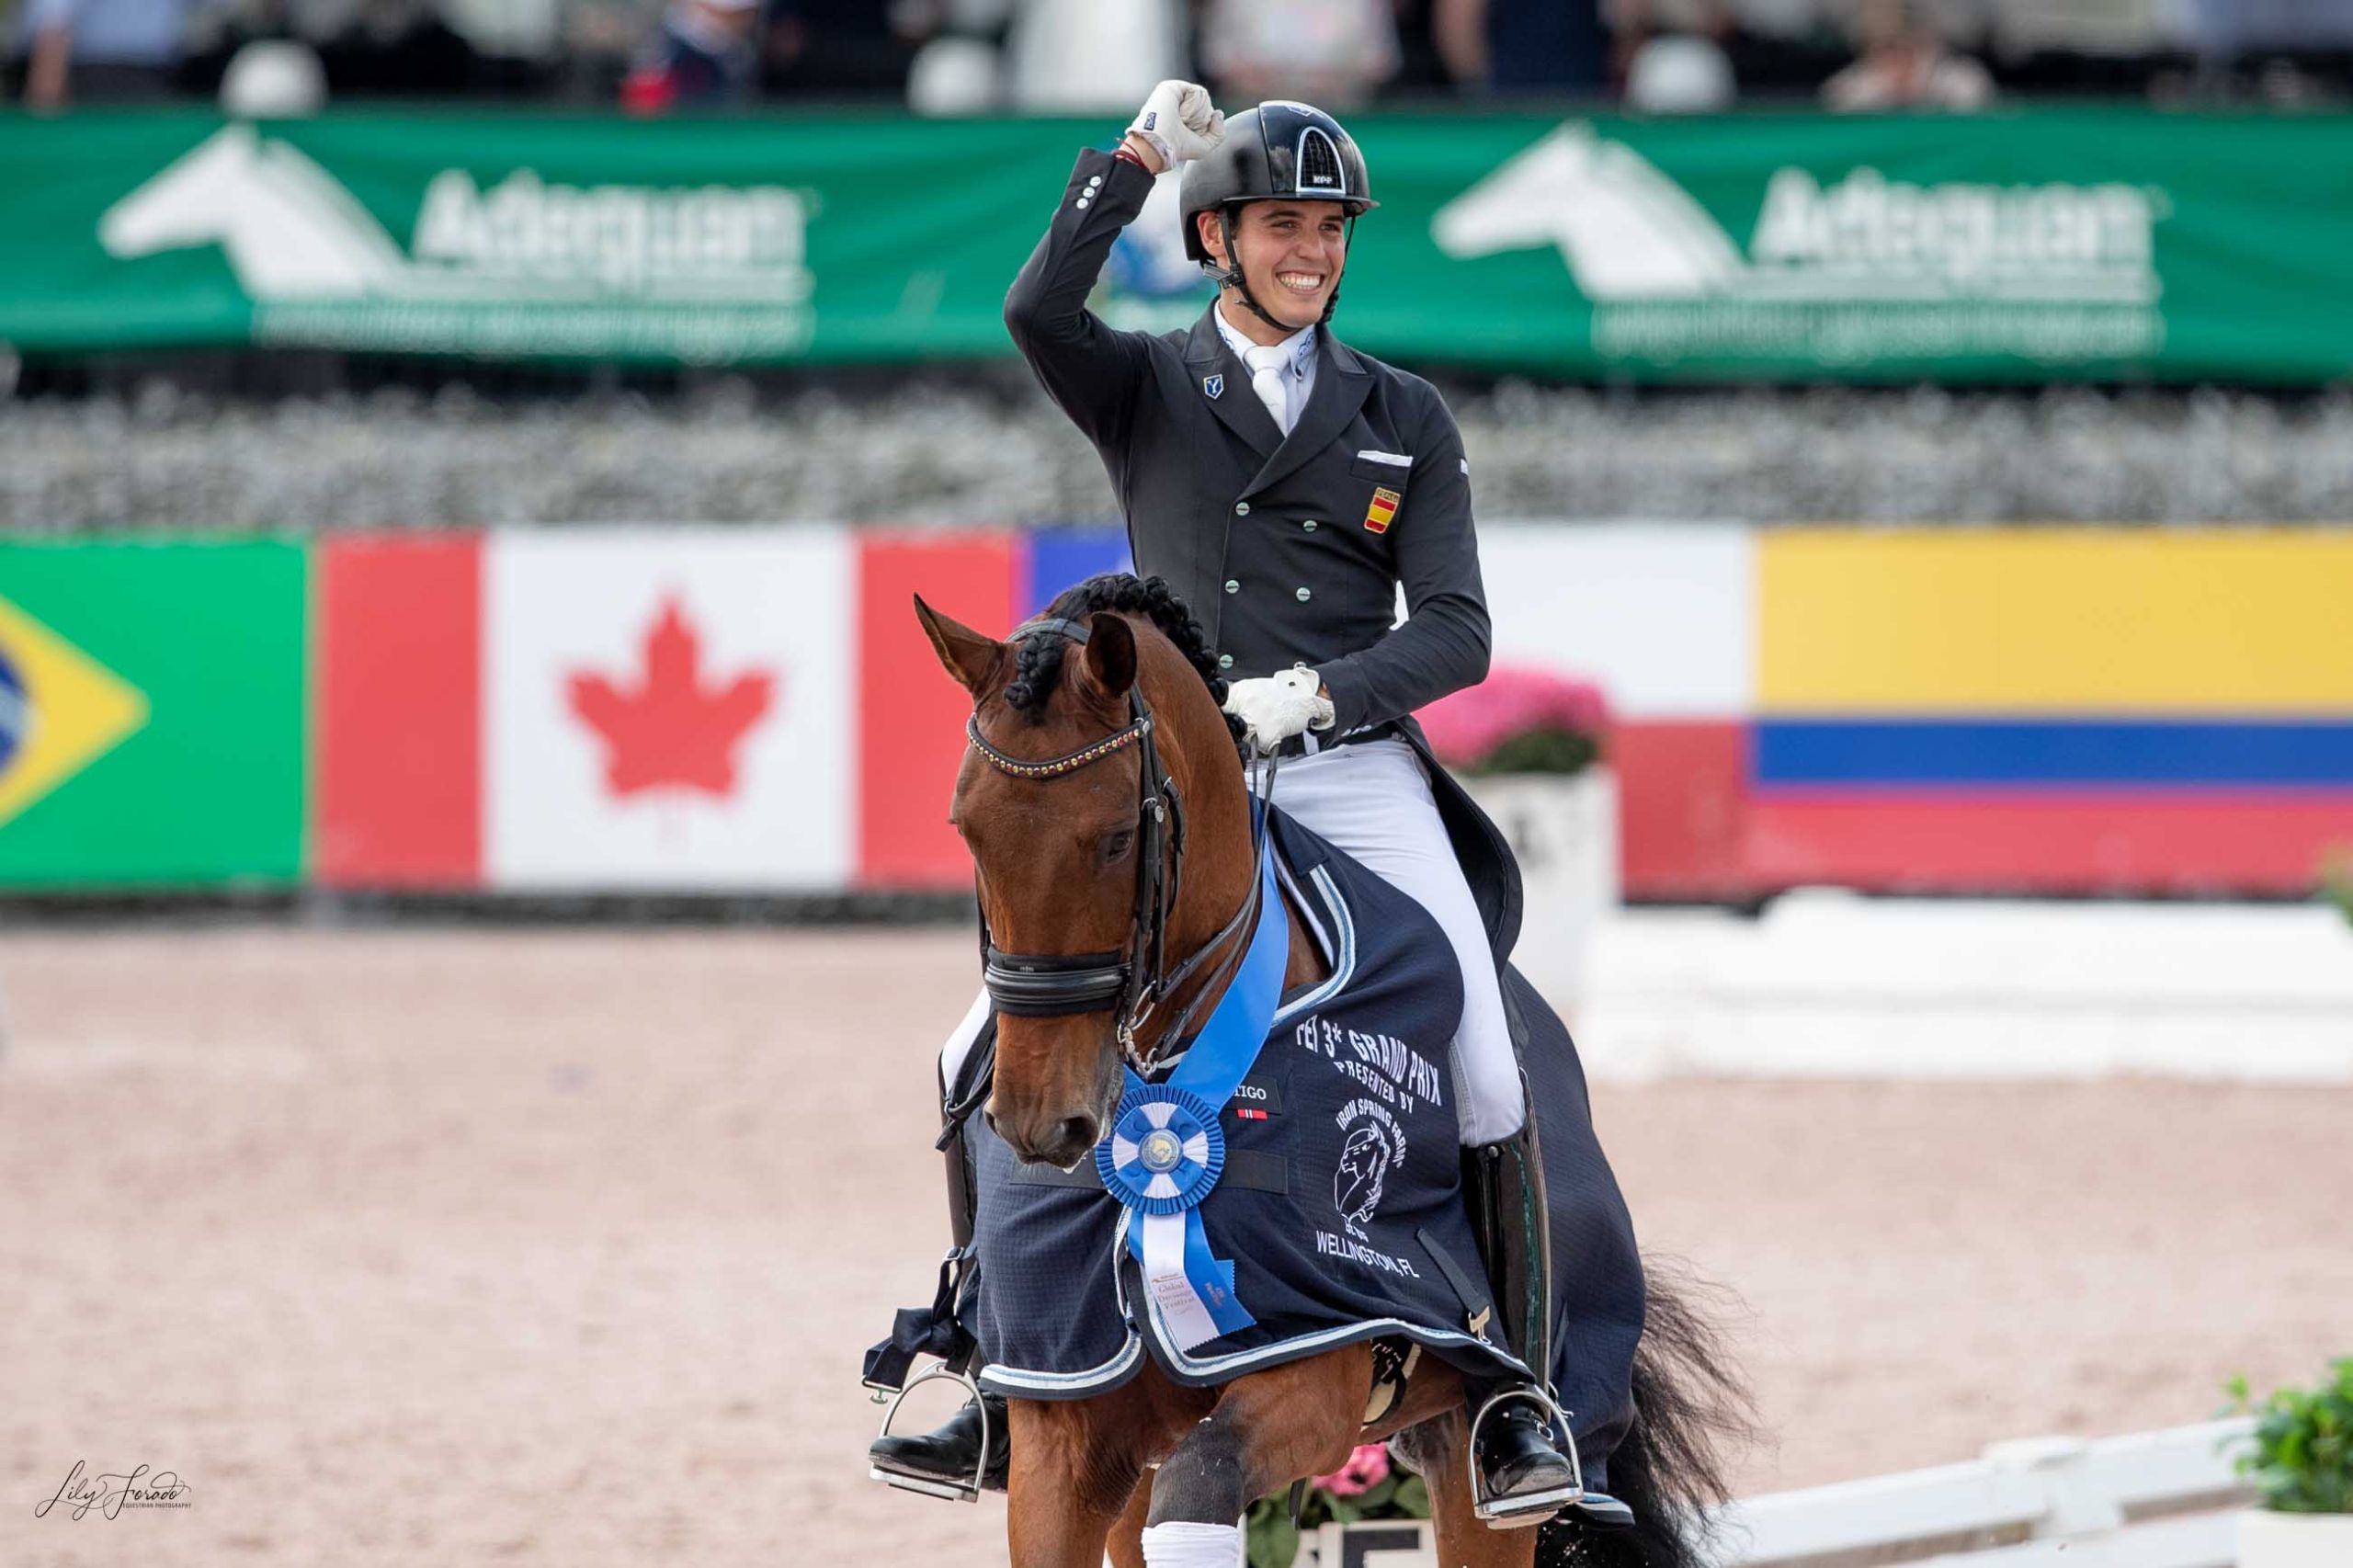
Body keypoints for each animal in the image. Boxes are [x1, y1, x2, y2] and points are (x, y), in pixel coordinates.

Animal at [917, 574, 1750, 1562]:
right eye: (966, 831)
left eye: (1119, 839)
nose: (1043, 1124)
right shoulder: (1065, 1412)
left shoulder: (1314, 1365)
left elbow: (1204, 1484)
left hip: (1477, 1449)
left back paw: (1525, 1439)